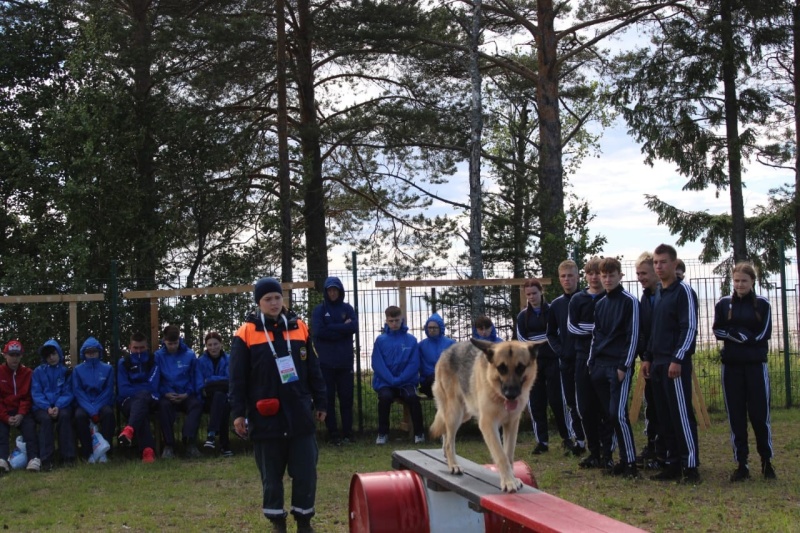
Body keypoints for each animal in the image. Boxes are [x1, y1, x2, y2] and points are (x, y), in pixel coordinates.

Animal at [428, 338, 540, 492]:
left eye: (520, 368)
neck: (498, 394)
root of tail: (446, 351)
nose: (510, 394)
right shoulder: (488, 424)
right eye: (501, 368)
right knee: (450, 440)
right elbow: (501, 455)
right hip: (455, 412)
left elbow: (508, 454)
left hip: (465, 414)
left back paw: (446, 453)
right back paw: (453, 465)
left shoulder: (511, 424)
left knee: (446, 431)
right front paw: (508, 481)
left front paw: (512, 478)